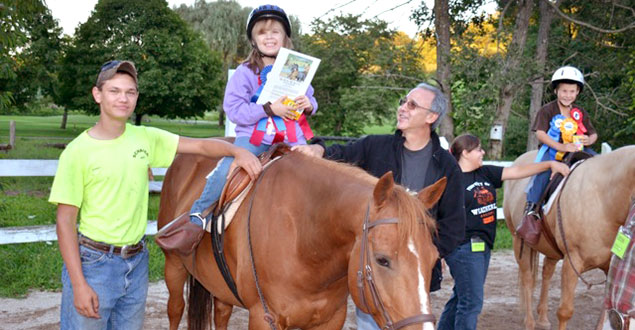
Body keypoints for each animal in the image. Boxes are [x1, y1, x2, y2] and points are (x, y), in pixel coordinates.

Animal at [157, 150, 444, 330]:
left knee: (221, 313)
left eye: (433, 260)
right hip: (174, 266)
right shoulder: (264, 318)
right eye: (382, 260)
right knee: (176, 309)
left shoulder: (331, 320)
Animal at [506, 146, 635, 328]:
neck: (604, 201)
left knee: (547, 272)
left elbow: (604, 315)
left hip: (550, 248)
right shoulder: (572, 261)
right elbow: (565, 312)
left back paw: (543, 318)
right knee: (528, 279)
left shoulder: (609, 268)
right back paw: (530, 322)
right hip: (519, 241)